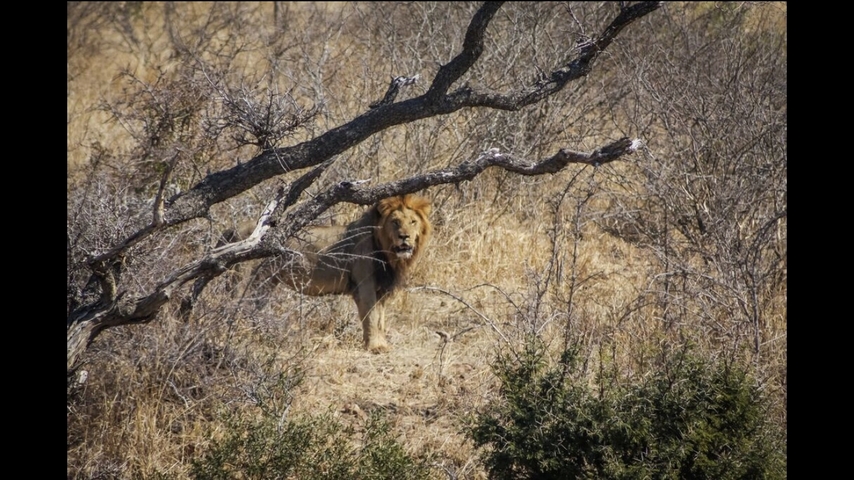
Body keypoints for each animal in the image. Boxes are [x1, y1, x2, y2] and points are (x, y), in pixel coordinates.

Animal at [223, 194, 432, 353]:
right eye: (395, 222)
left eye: (413, 222)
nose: (404, 237)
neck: (389, 252)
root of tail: (233, 229)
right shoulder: (365, 286)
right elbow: (371, 318)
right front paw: (375, 347)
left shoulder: (381, 289)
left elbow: (380, 319)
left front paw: (382, 344)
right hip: (241, 282)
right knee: (232, 309)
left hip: (264, 283)